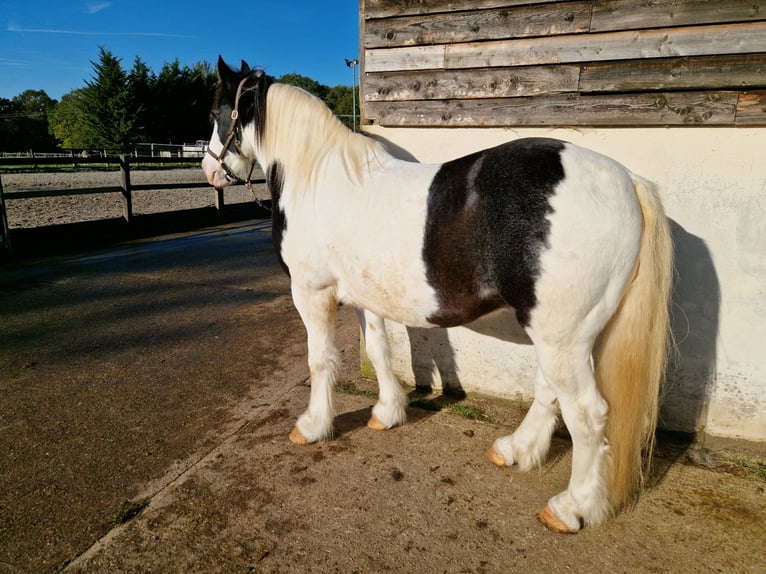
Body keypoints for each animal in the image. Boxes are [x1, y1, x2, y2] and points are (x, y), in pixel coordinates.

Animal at [202, 58, 672, 536]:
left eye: (214, 114)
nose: (210, 171)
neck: (317, 177)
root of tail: (627, 181)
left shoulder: (311, 292)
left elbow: (320, 360)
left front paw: (313, 425)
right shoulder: (364, 297)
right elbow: (380, 350)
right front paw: (387, 413)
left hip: (562, 335)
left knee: (587, 414)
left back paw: (570, 507)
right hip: (561, 334)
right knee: (549, 391)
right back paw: (515, 449)